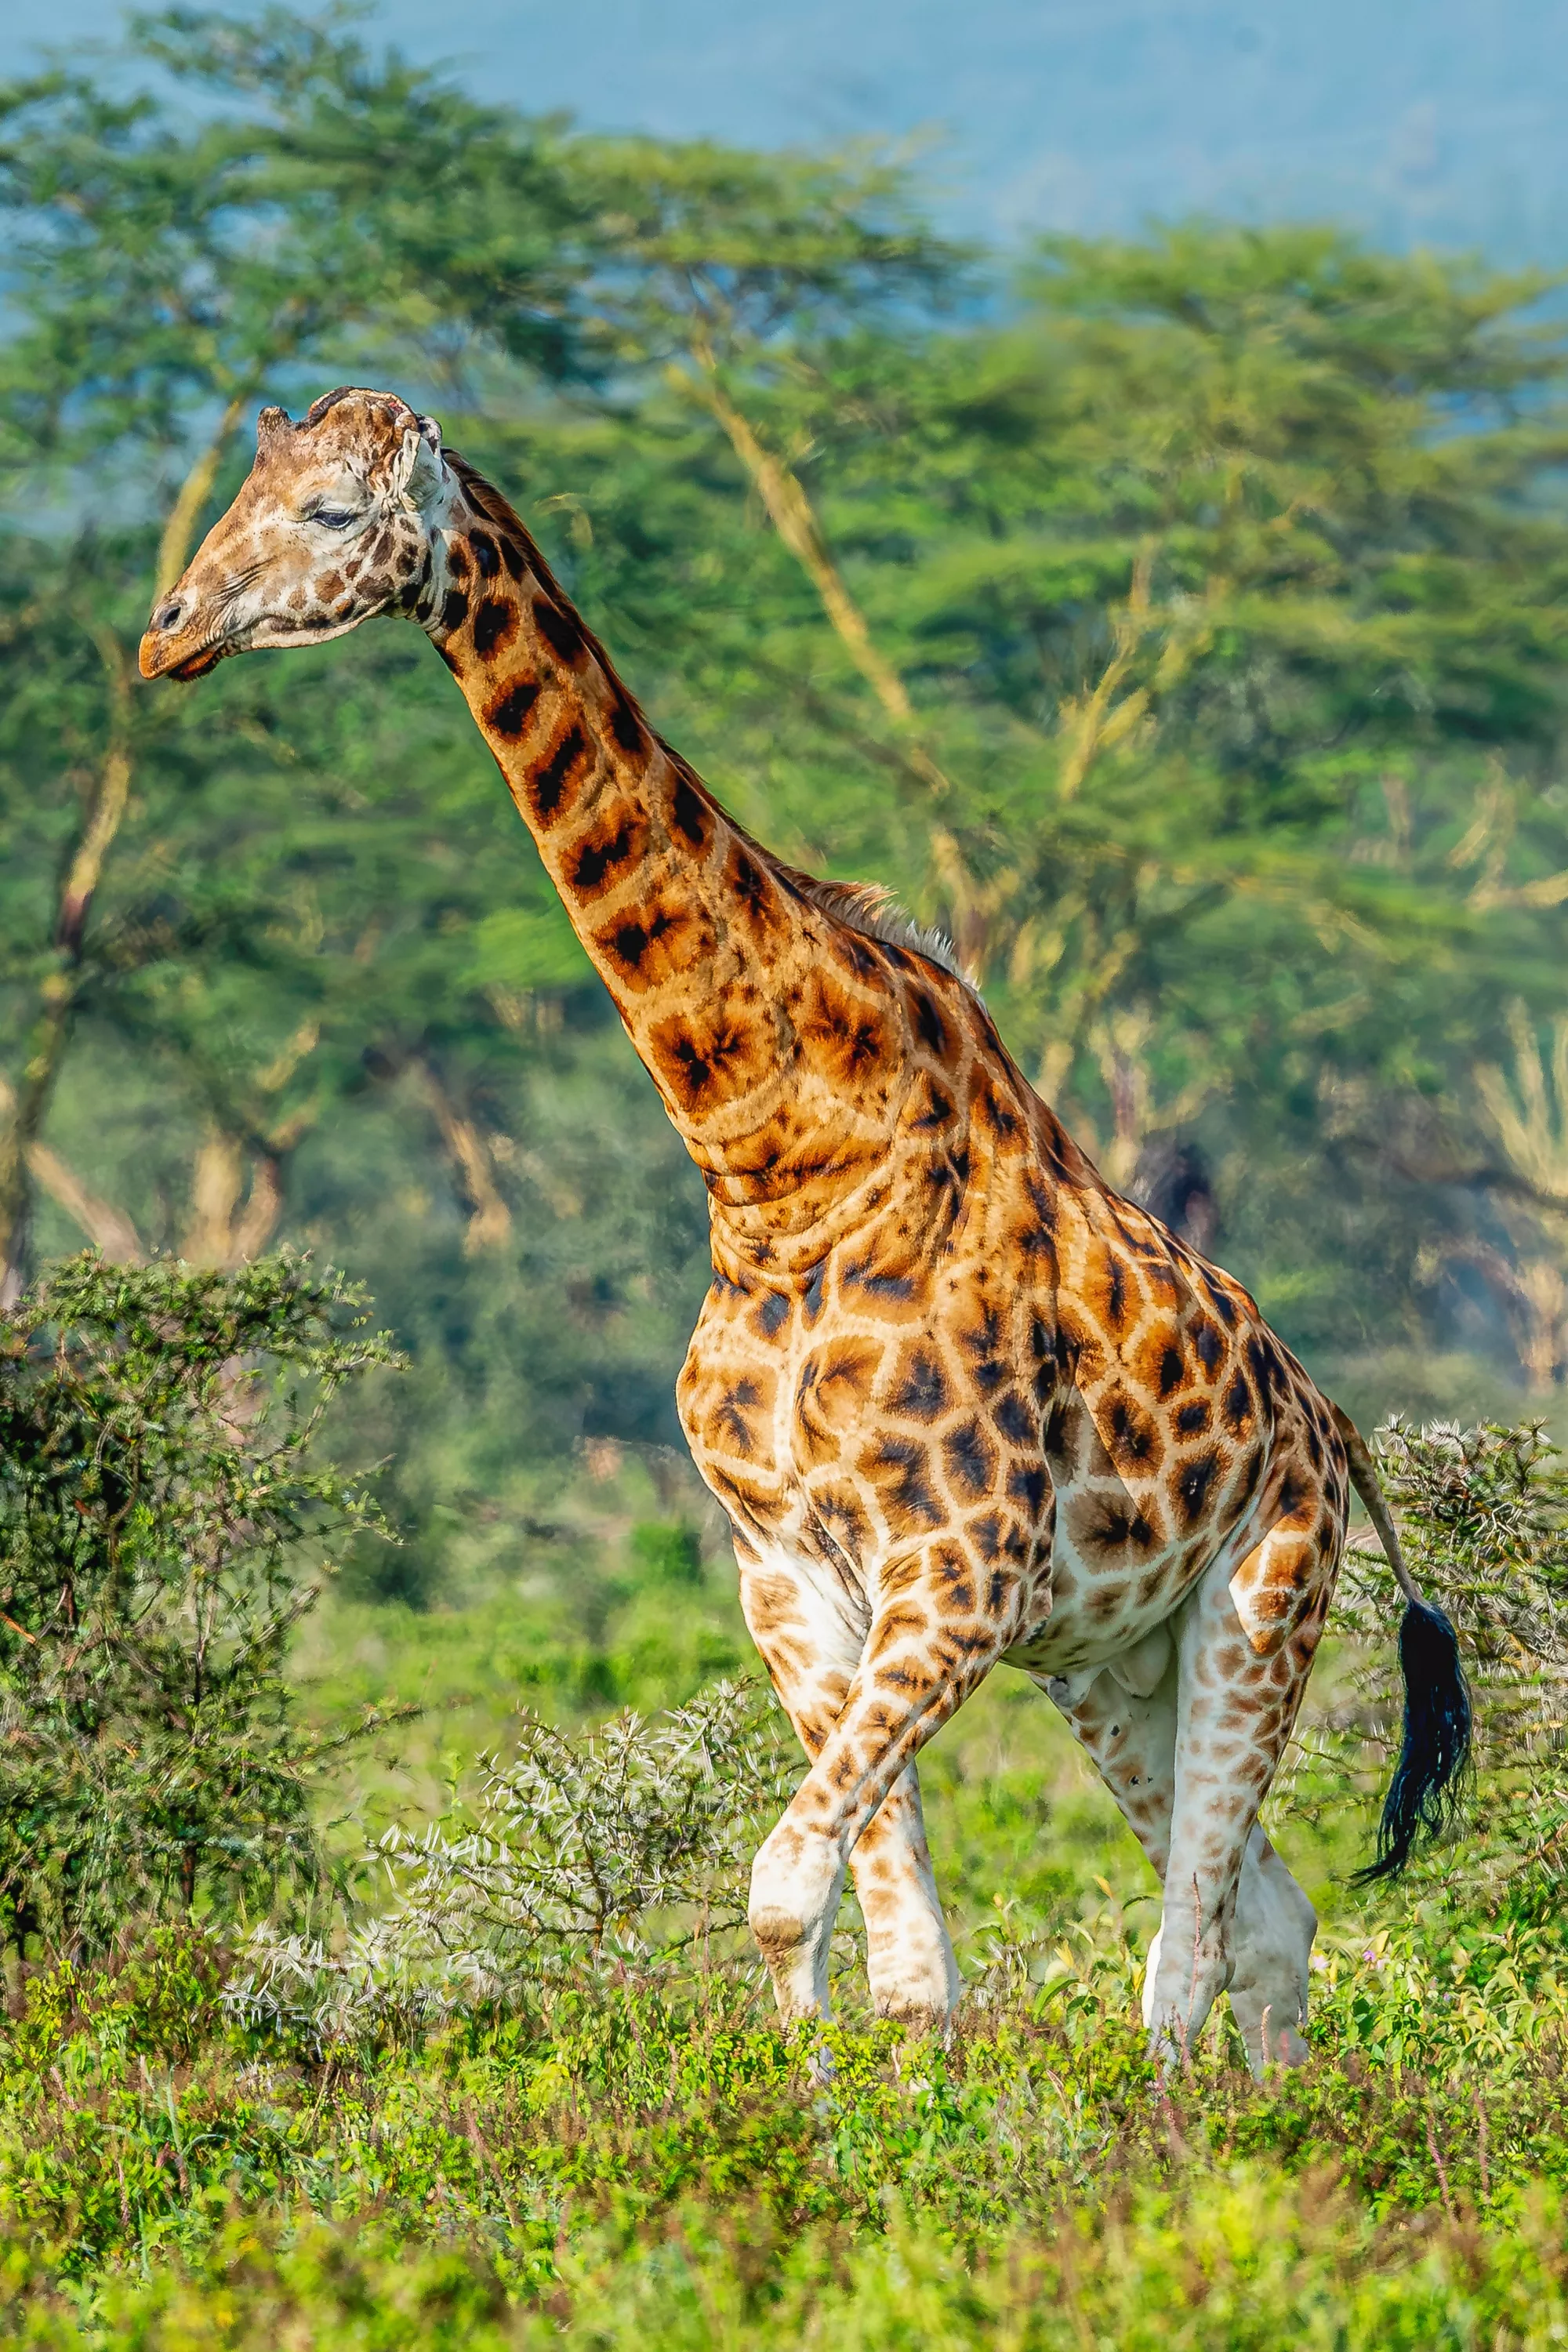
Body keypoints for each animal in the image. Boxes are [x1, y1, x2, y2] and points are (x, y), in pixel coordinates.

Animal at [139, 389, 1470, 2073]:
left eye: (324, 514)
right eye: (240, 491)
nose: (167, 633)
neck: (775, 1170)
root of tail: (1332, 1424)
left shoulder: (959, 1571)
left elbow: (786, 1883)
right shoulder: (792, 1581)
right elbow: (877, 1946)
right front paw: (849, 2111)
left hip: (1261, 1599)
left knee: (1192, 1945)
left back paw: (1212, 2122)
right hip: (1117, 1658)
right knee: (1268, 1919)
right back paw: (1277, 2117)